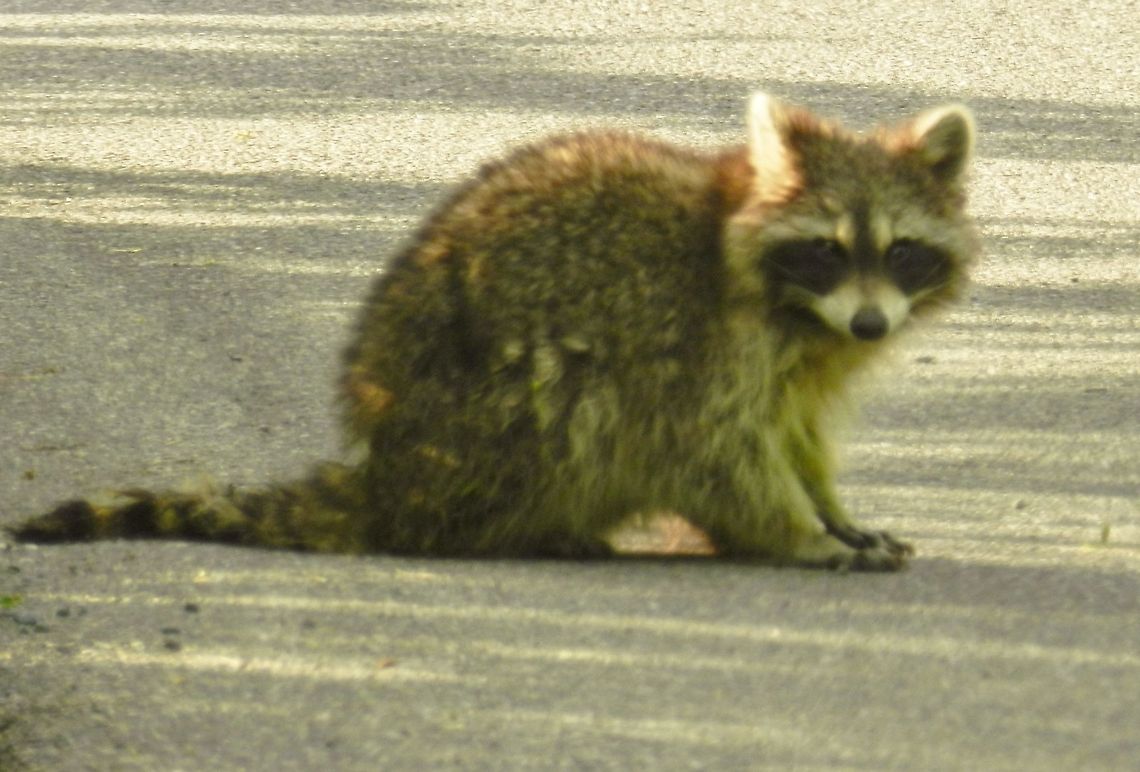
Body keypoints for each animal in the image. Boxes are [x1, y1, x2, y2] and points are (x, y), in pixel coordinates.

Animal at [11, 93, 978, 570]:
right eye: (825, 248)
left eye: (901, 252)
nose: (870, 323)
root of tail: (389, 477)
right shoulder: (694, 337)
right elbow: (714, 449)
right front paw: (796, 532)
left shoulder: (804, 355)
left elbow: (792, 433)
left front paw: (833, 512)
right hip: (490, 419)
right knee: (578, 399)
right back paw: (529, 528)